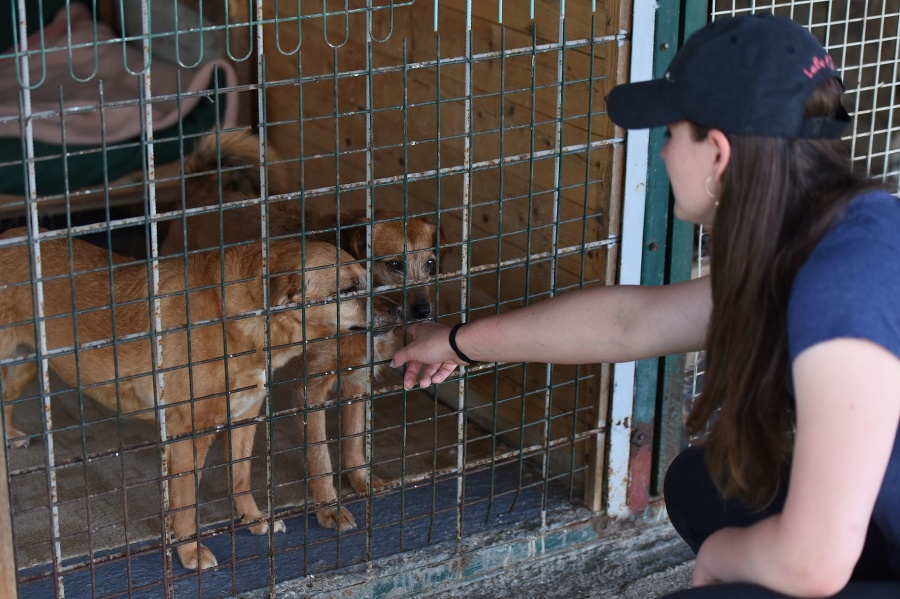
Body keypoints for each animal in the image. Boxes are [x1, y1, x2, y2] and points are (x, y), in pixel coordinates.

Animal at [0, 229, 400, 572]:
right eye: (348, 290)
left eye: (369, 279)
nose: (399, 310)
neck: (233, 319)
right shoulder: (187, 437)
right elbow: (186, 505)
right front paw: (190, 552)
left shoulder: (244, 417)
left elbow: (240, 477)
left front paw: (253, 519)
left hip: (26, 362)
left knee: (6, 397)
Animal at [161, 131, 446, 528]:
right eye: (394, 265)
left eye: (431, 264)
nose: (423, 312)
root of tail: (200, 190)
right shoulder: (311, 389)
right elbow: (320, 456)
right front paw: (328, 507)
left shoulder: (356, 381)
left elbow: (354, 443)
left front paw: (362, 481)